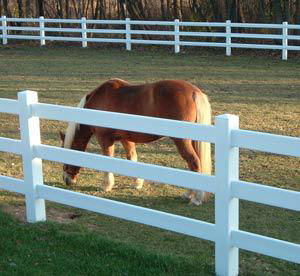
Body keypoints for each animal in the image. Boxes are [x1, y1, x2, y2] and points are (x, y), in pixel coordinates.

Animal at [59, 77, 212, 205]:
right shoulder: (126, 139)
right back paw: (189, 194)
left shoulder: (105, 139)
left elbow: (108, 159)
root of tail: (194, 92)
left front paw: (107, 186)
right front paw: (137, 183)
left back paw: (195, 198)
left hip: (182, 141)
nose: (67, 180)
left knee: (194, 162)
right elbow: (132, 158)